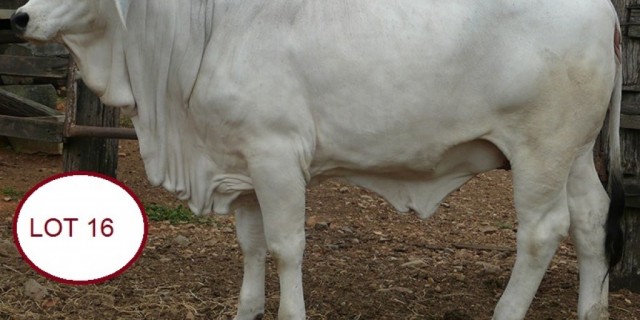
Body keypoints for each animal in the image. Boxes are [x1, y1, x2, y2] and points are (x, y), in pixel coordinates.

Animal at [11, 1, 624, 318]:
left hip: (540, 150)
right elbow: (252, 246)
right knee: (591, 219)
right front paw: (248, 310)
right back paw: (591, 310)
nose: (18, 17)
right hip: (572, 153)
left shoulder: (277, 154)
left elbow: (286, 247)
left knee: (543, 231)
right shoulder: (240, 164)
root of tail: (607, 11)